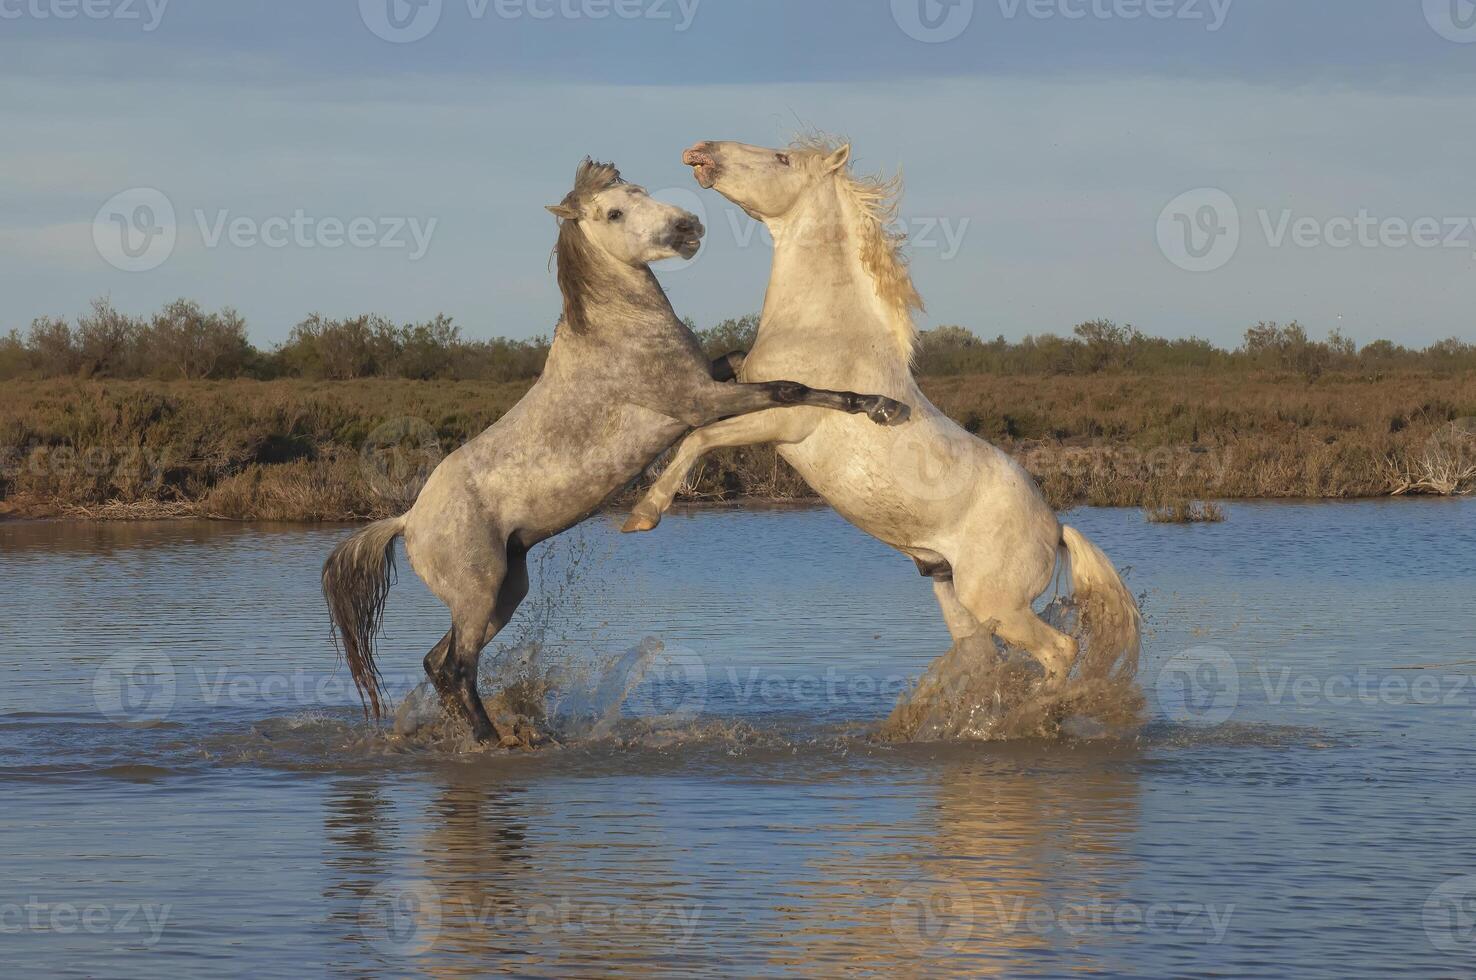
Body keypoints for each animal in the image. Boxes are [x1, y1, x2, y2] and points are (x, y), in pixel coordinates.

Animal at [320, 160, 909, 743]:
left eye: (641, 191)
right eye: (614, 213)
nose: (687, 227)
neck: (618, 331)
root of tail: (407, 521)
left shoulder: (711, 379)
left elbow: (749, 361)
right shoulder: (701, 402)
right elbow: (789, 388)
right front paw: (881, 407)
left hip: (504, 594)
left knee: (436, 663)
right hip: (477, 592)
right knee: (456, 668)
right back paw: (493, 741)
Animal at [625, 139, 1139, 687]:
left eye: (783, 159)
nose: (700, 150)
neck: (821, 329)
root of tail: (1056, 528)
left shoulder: (782, 420)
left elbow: (698, 438)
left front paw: (642, 516)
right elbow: (698, 427)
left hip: (998, 603)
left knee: (1060, 650)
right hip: (954, 594)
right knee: (986, 654)